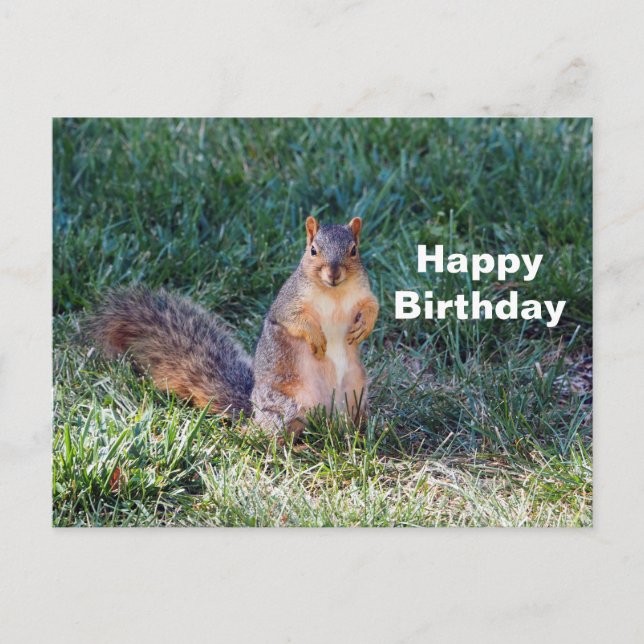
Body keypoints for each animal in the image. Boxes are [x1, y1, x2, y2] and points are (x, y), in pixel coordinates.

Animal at [87, 215, 379, 437]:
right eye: (313, 250)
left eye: (354, 250)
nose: (333, 274)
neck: (334, 293)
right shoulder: (288, 302)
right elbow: (294, 319)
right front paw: (316, 337)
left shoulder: (363, 293)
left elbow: (372, 306)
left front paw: (364, 326)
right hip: (289, 406)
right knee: (270, 435)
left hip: (356, 392)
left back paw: (358, 433)